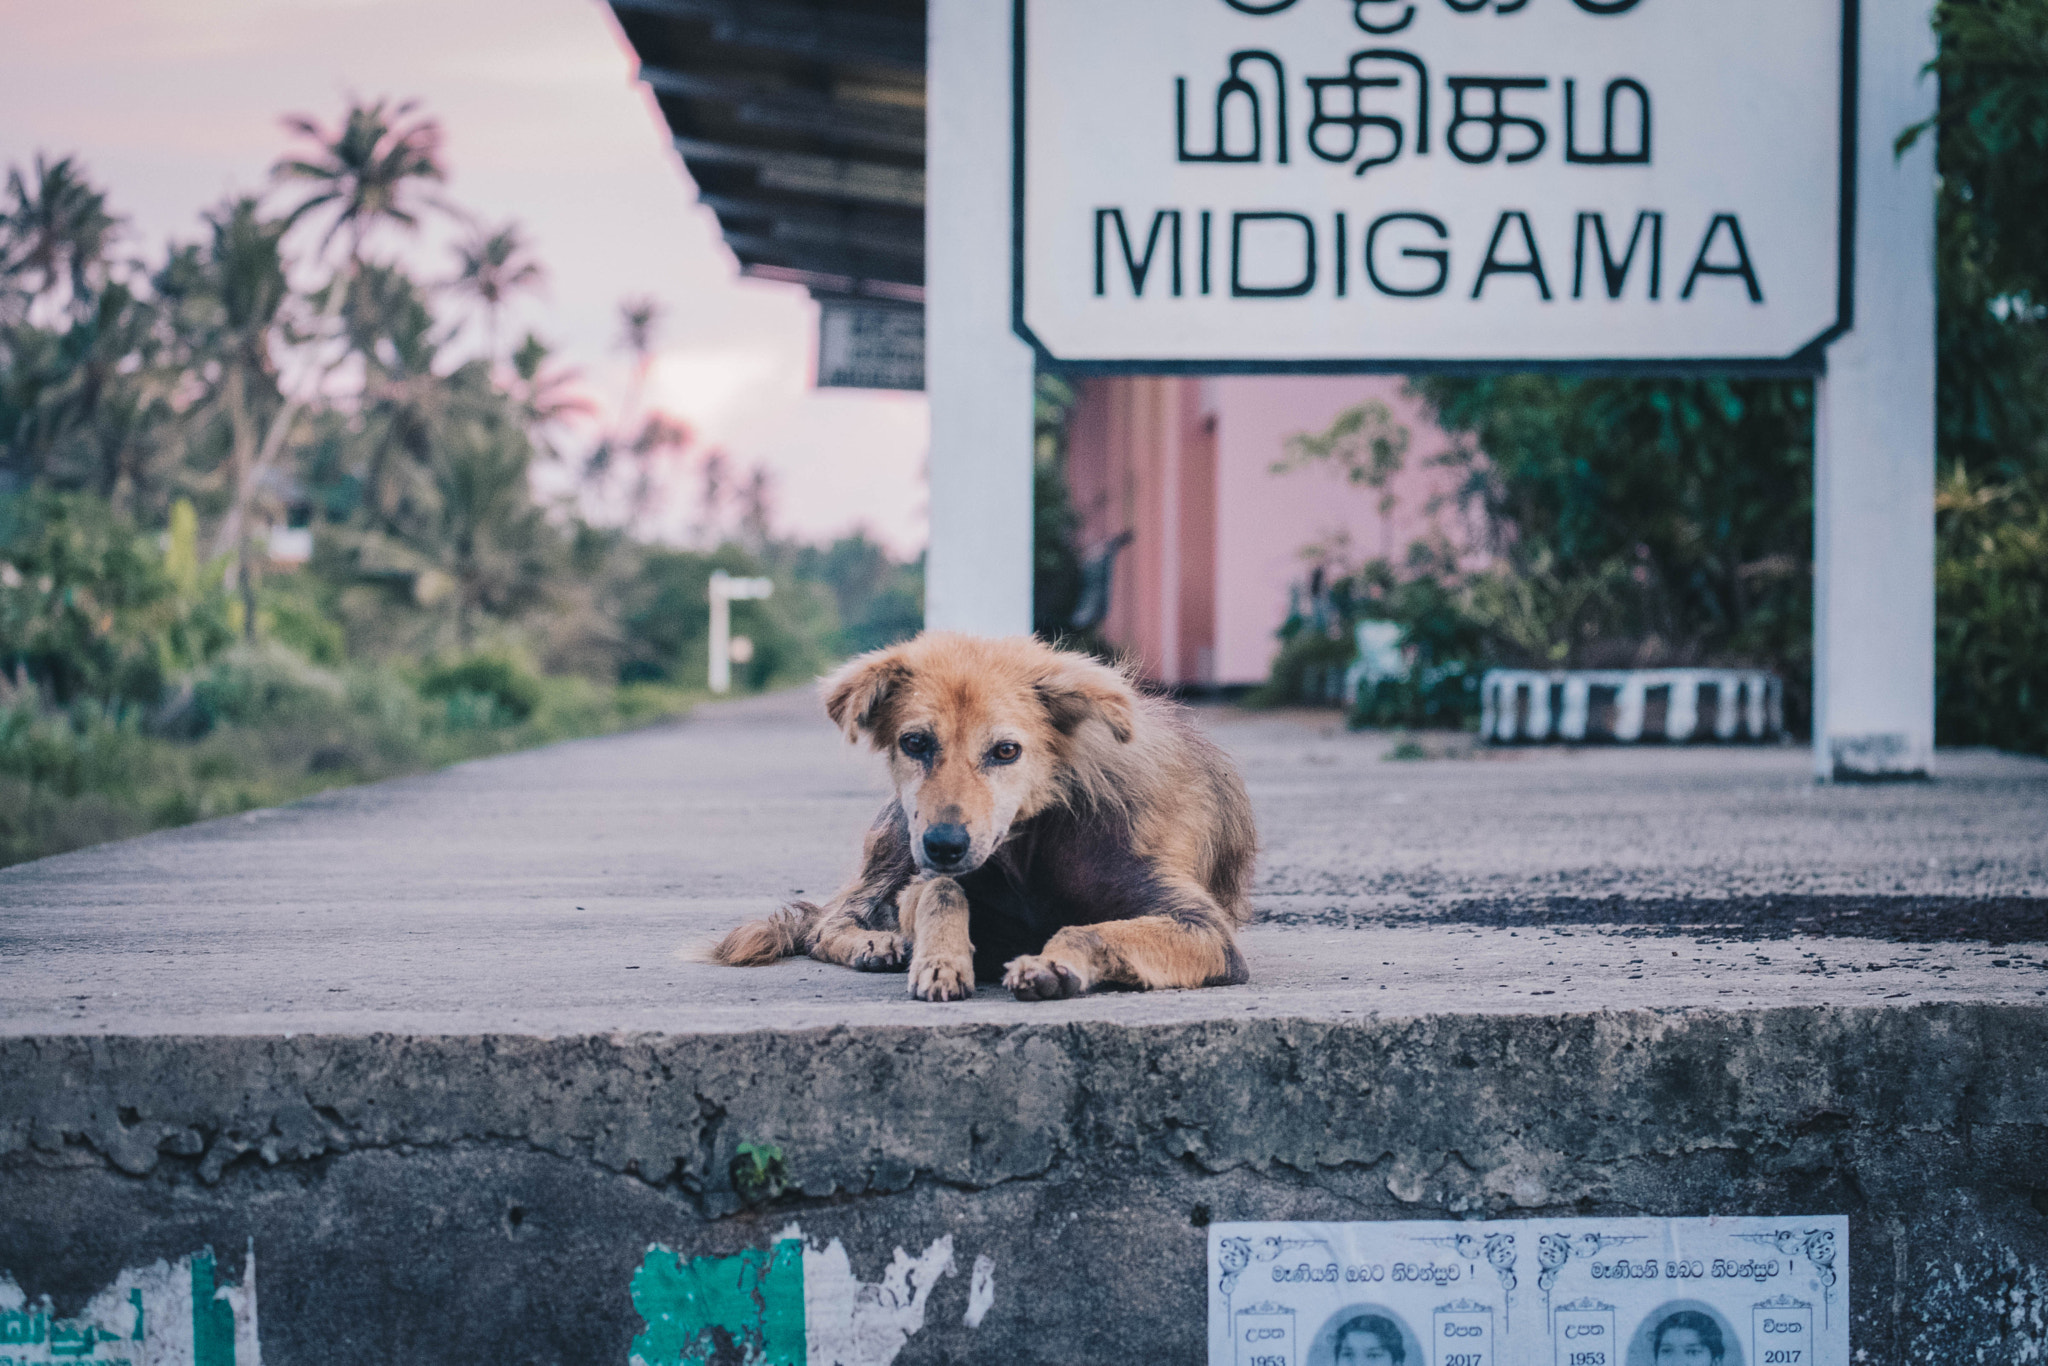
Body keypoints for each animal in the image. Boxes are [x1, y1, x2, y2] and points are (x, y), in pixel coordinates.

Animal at [720, 634, 1261, 1003]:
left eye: (1006, 750)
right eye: (915, 742)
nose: (944, 845)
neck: (1032, 846)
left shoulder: (1203, 927)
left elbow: (1090, 929)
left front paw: (1052, 963)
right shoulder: (922, 879)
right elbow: (941, 891)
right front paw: (941, 959)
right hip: (898, 843)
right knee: (826, 924)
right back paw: (873, 942)